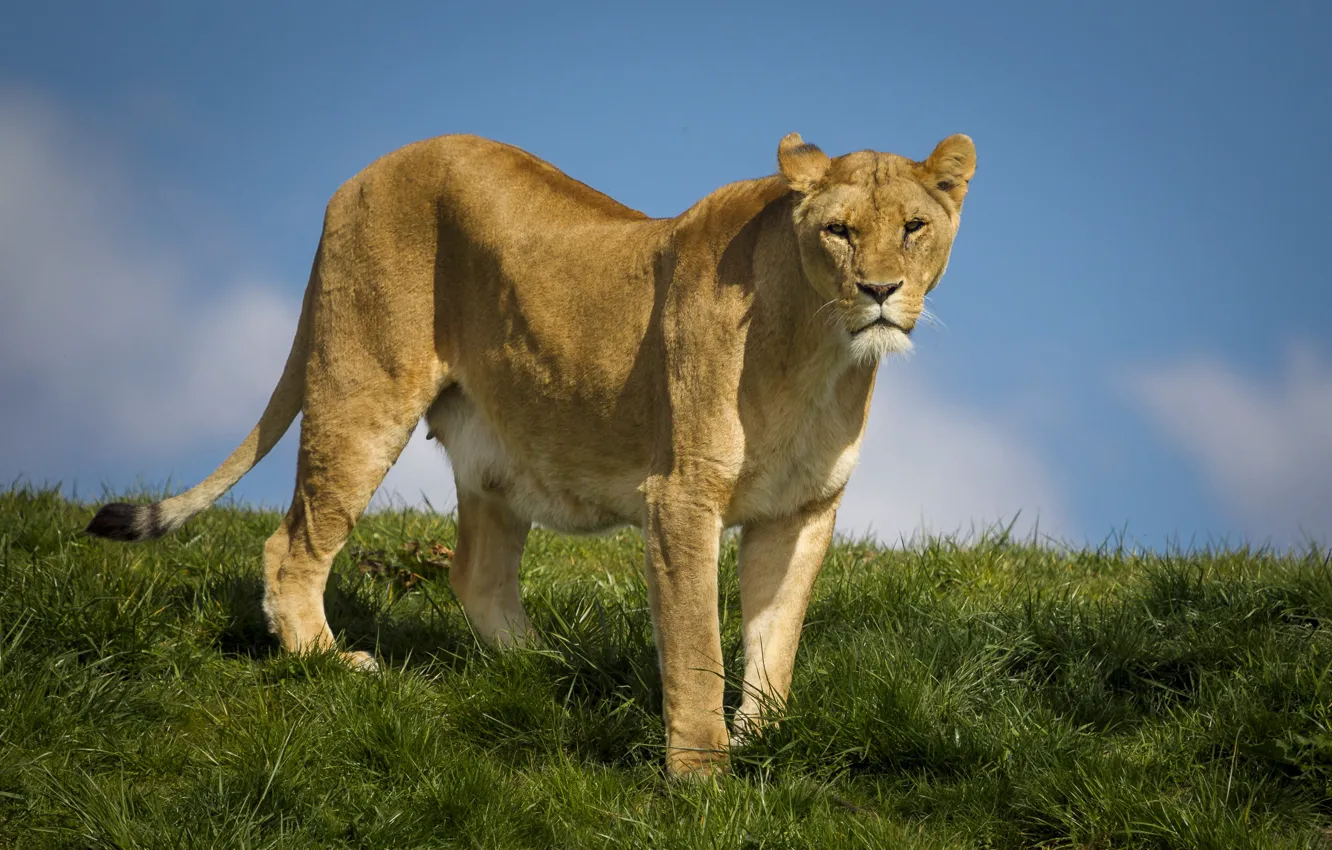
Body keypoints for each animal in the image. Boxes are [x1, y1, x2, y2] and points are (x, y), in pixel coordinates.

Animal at [86, 131, 976, 776]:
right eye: (839, 231)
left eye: (914, 227)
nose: (880, 292)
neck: (822, 354)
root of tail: (366, 172)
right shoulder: (680, 496)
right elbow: (697, 648)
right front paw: (702, 778)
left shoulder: (801, 511)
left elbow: (775, 640)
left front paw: (764, 740)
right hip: (359, 387)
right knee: (292, 543)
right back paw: (328, 662)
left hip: (496, 449)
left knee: (474, 573)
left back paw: (550, 668)